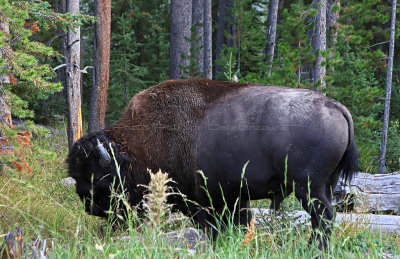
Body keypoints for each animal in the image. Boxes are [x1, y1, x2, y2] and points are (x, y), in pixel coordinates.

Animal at [67, 78, 358, 250]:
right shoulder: (233, 196)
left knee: (323, 218)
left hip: (309, 187)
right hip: (324, 185)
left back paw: (312, 250)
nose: (89, 205)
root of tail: (337, 107)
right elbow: (240, 222)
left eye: (97, 175)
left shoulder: (200, 201)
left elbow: (212, 226)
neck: (137, 144)